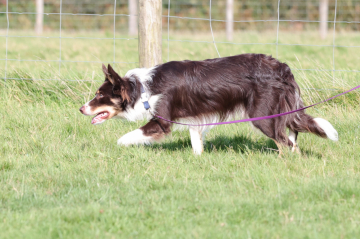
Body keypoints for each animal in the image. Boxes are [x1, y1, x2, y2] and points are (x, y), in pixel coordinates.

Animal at [79, 53, 338, 155]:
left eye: (99, 95)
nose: (81, 109)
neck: (142, 89)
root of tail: (282, 67)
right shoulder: (193, 119)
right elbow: (196, 143)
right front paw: (198, 159)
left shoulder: (162, 121)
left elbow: (125, 137)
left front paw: (119, 146)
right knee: (292, 134)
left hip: (262, 115)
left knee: (286, 141)